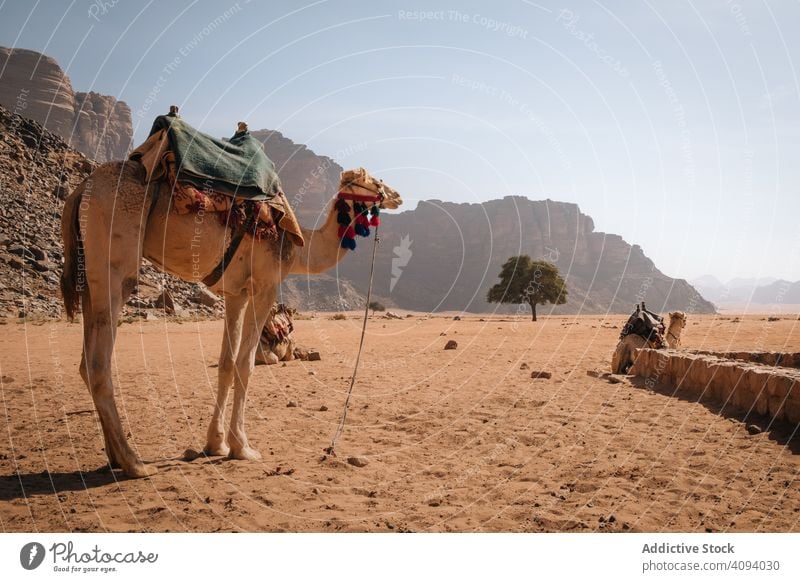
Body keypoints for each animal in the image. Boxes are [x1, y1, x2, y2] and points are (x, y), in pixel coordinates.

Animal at [61, 161, 400, 480]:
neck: (301, 246)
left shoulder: (236, 293)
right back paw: (134, 462)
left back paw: (115, 457)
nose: (397, 195)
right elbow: (245, 364)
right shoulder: (265, 285)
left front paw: (216, 443)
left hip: (89, 272)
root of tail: (81, 190)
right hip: (114, 263)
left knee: (85, 363)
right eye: (374, 180)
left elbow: (226, 364)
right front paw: (243, 447)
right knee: (99, 364)